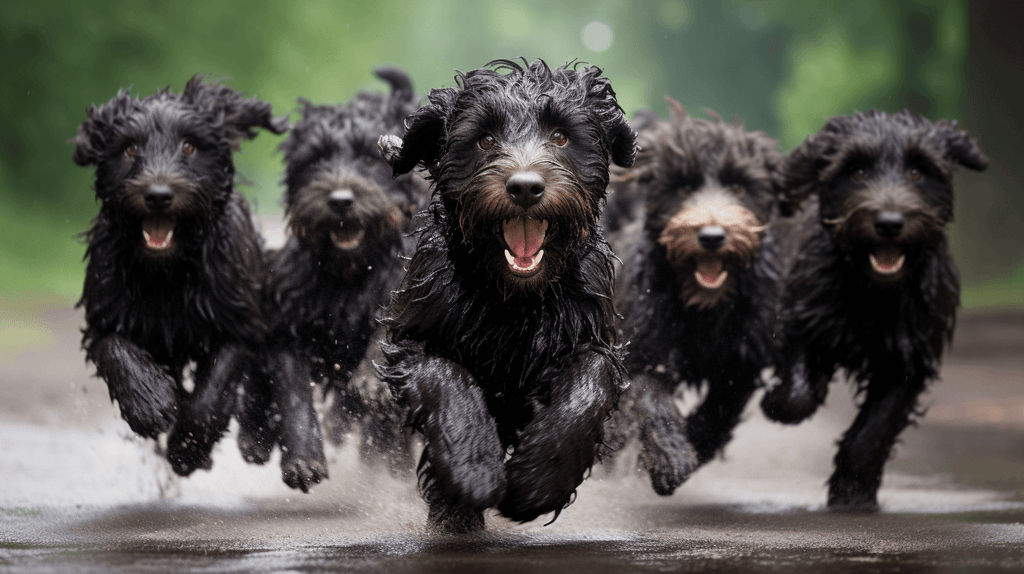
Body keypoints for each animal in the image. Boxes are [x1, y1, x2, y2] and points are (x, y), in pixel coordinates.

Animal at [72, 75, 288, 474]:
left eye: (189, 146)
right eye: (129, 148)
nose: (158, 195)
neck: (168, 273)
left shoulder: (239, 321)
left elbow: (211, 392)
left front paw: (187, 448)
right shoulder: (105, 312)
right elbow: (113, 347)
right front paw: (148, 403)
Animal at [235, 65, 428, 487]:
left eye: (370, 159)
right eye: (317, 159)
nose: (341, 201)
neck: (350, 270)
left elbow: (388, 326)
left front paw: (371, 381)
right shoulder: (287, 320)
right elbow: (294, 395)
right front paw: (303, 459)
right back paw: (253, 438)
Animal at [372, 59, 634, 532]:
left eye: (561, 136)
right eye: (485, 139)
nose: (525, 187)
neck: (513, 301)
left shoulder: (592, 334)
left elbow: (590, 380)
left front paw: (540, 480)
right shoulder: (414, 335)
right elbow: (445, 375)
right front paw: (473, 469)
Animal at [606, 100, 782, 495]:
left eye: (739, 186)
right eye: (684, 187)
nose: (712, 236)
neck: (703, 310)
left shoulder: (740, 361)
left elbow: (719, 412)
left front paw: (692, 445)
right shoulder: (640, 351)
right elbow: (650, 397)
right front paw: (670, 457)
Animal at [761, 109, 991, 507]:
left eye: (917, 171)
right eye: (856, 172)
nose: (889, 222)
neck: (874, 292)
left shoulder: (908, 360)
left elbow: (873, 433)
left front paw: (852, 493)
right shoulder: (801, 318)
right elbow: (799, 394)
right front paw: (775, 402)